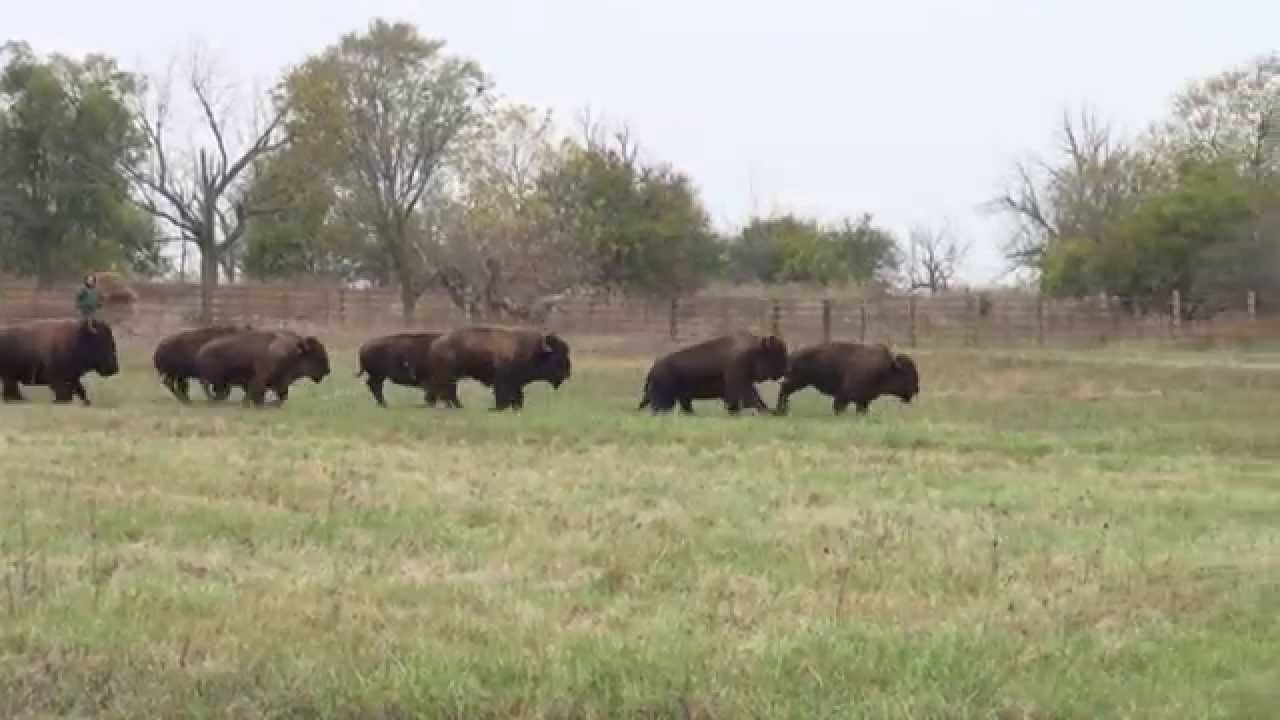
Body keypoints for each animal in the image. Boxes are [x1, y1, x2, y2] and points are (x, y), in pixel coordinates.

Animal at [194, 330, 331, 407]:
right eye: (317, 355)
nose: (327, 370)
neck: (293, 352)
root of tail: (202, 350)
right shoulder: (261, 379)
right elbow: (258, 393)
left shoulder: (280, 383)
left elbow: (282, 396)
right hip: (218, 380)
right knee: (211, 388)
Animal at [417, 326, 571, 411]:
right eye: (557, 356)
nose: (567, 373)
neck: (536, 352)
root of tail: (436, 344)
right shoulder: (503, 382)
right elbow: (503, 396)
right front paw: (497, 408)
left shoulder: (516, 383)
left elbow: (518, 397)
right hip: (448, 377)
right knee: (448, 393)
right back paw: (458, 407)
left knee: (439, 392)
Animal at [637, 331, 788, 415]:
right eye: (777, 354)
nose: (785, 370)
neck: (755, 350)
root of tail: (653, 369)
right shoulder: (739, 381)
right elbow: (751, 398)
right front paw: (769, 413)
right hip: (667, 399)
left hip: (679, 397)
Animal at [774, 342, 918, 416]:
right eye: (907, 374)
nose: (916, 389)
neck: (887, 369)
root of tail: (793, 354)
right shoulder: (843, 396)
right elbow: (839, 407)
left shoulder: (863, 401)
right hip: (797, 381)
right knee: (784, 390)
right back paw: (781, 411)